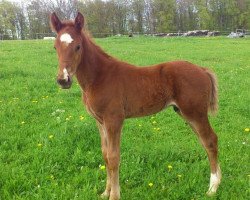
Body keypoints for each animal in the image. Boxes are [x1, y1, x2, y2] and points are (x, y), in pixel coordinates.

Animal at [50, 12, 221, 198]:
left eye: (78, 46)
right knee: (205, 142)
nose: (63, 80)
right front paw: (105, 192)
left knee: (210, 140)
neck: (99, 77)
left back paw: (212, 188)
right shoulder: (100, 122)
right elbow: (105, 155)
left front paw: (114, 195)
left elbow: (113, 157)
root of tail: (202, 69)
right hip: (186, 114)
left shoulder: (114, 120)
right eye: (55, 47)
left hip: (196, 113)